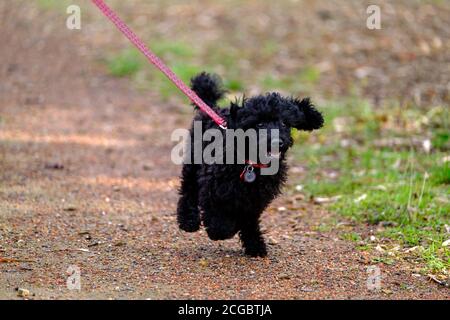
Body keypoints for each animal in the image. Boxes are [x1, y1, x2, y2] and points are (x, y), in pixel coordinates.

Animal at [176, 72, 324, 258]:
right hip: (193, 163)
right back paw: (188, 220)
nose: (277, 142)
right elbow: (219, 221)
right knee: (188, 189)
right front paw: (221, 230)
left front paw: (255, 245)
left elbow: (249, 222)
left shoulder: (255, 200)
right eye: (259, 124)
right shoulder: (212, 189)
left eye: (284, 123)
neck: (252, 164)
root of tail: (213, 109)